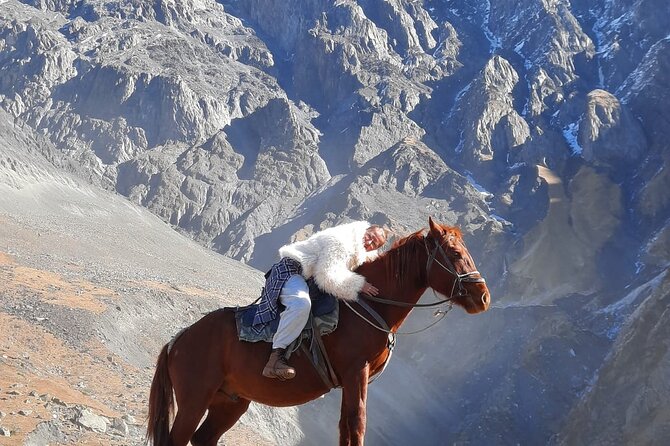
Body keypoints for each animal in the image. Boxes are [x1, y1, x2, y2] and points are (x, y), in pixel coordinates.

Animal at [146, 217, 491, 446]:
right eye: (455, 254)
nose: (483, 297)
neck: (371, 306)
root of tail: (178, 340)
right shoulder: (356, 372)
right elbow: (356, 424)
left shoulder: (351, 381)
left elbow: (345, 425)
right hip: (194, 401)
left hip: (229, 402)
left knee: (204, 438)